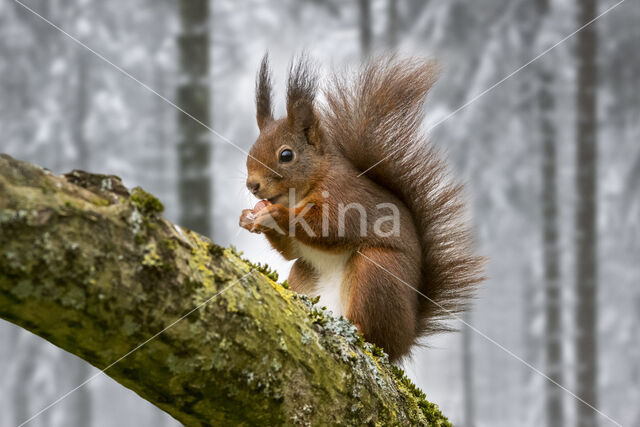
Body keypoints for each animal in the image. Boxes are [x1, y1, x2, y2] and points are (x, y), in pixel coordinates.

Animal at [240, 54, 484, 362]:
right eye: (250, 151)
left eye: (286, 155)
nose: (252, 185)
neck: (304, 190)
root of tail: (405, 339)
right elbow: (291, 250)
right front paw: (248, 218)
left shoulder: (345, 197)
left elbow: (329, 228)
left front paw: (277, 215)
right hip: (304, 274)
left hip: (377, 271)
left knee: (375, 333)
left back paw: (358, 330)